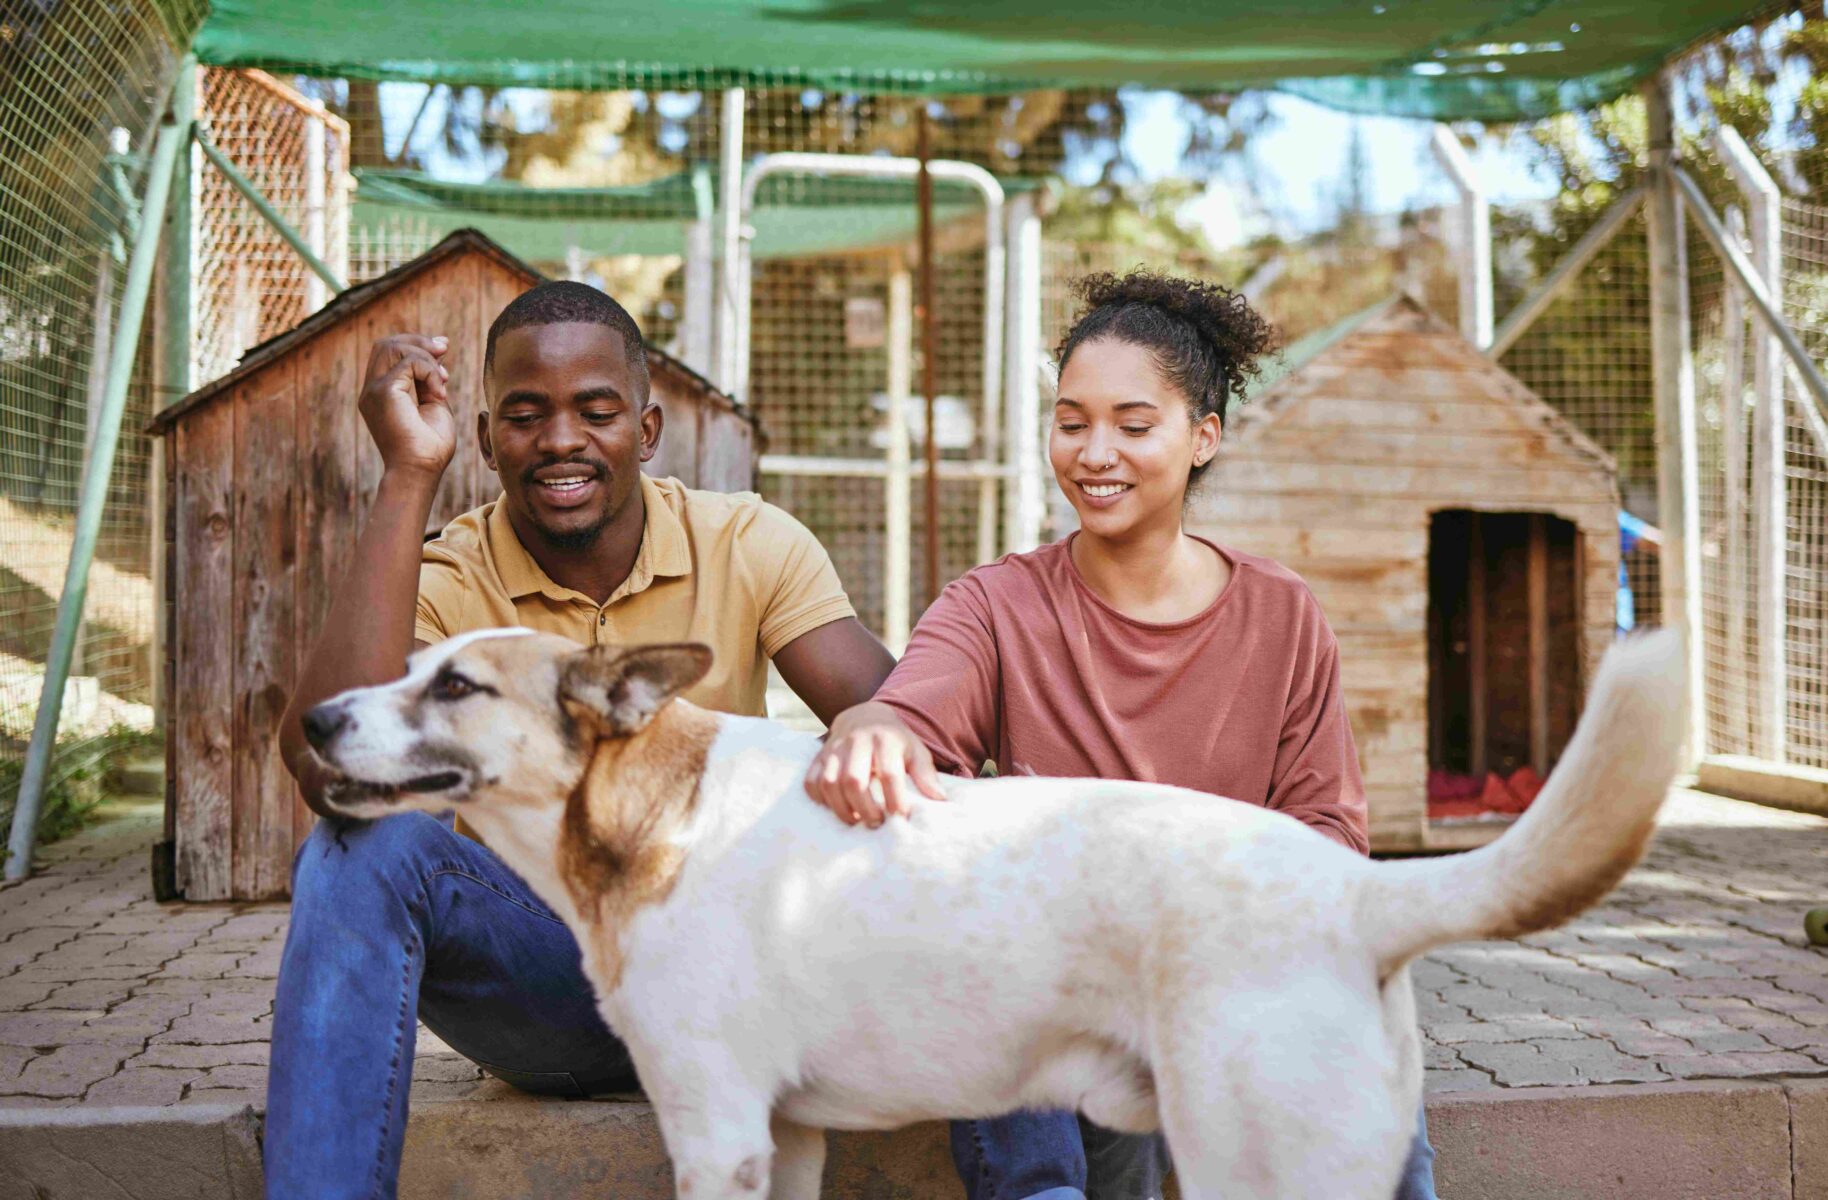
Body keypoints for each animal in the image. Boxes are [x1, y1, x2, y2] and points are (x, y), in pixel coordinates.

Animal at [303, 629, 1681, 1200]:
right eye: (412, 667)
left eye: (458, 687)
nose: (313, 718)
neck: (649, 811)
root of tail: (1355, 888)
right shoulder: (782, 1141)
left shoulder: (718, 1135)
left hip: (1260, 1165)